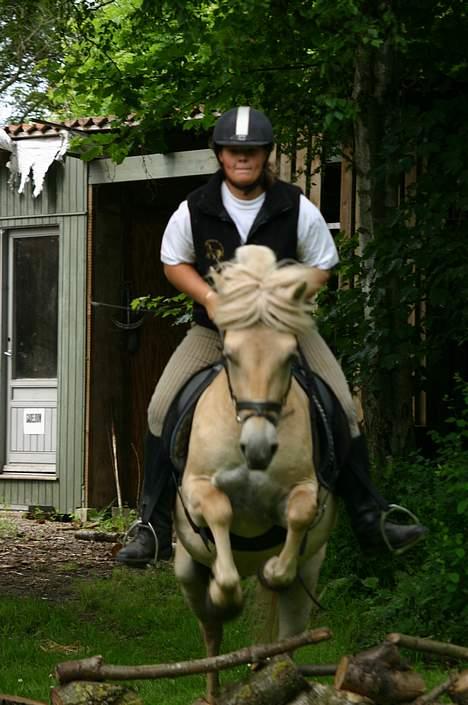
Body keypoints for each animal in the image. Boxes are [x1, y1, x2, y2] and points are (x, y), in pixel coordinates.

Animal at [172, 245, 336, 700]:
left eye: (290, 357)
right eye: (230, 356)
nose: (259, 448)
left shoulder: (305, 489)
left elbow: (298, 514)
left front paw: (274, 570)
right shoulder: (197, 488)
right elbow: (220, 513)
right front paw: (225, 594)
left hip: (308, 578)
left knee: (286, 640)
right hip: (186, 570)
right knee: (211, 635)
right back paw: (213, 691)